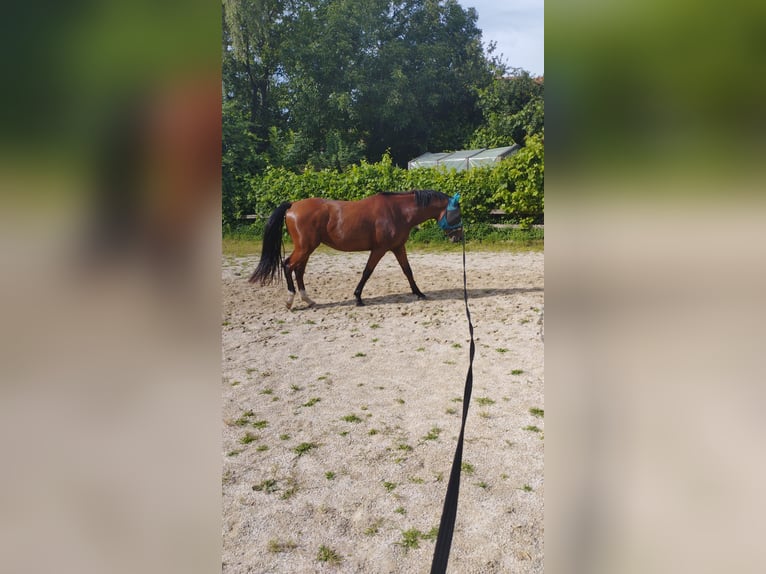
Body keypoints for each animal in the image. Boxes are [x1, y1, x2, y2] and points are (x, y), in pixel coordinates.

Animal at [250, 190, 462, 308]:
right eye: (457, 213)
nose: (458, 237)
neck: (398, 211)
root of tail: (293, 206)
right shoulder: (379, 249)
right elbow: (367, 272)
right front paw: (358, 298)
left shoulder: (397, 247)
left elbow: (407, 271)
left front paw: (419, 293)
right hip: (304, 248)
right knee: (288, 266)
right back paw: (290, 301)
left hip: (307, 249)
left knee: (299, 270)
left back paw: (308, 300)